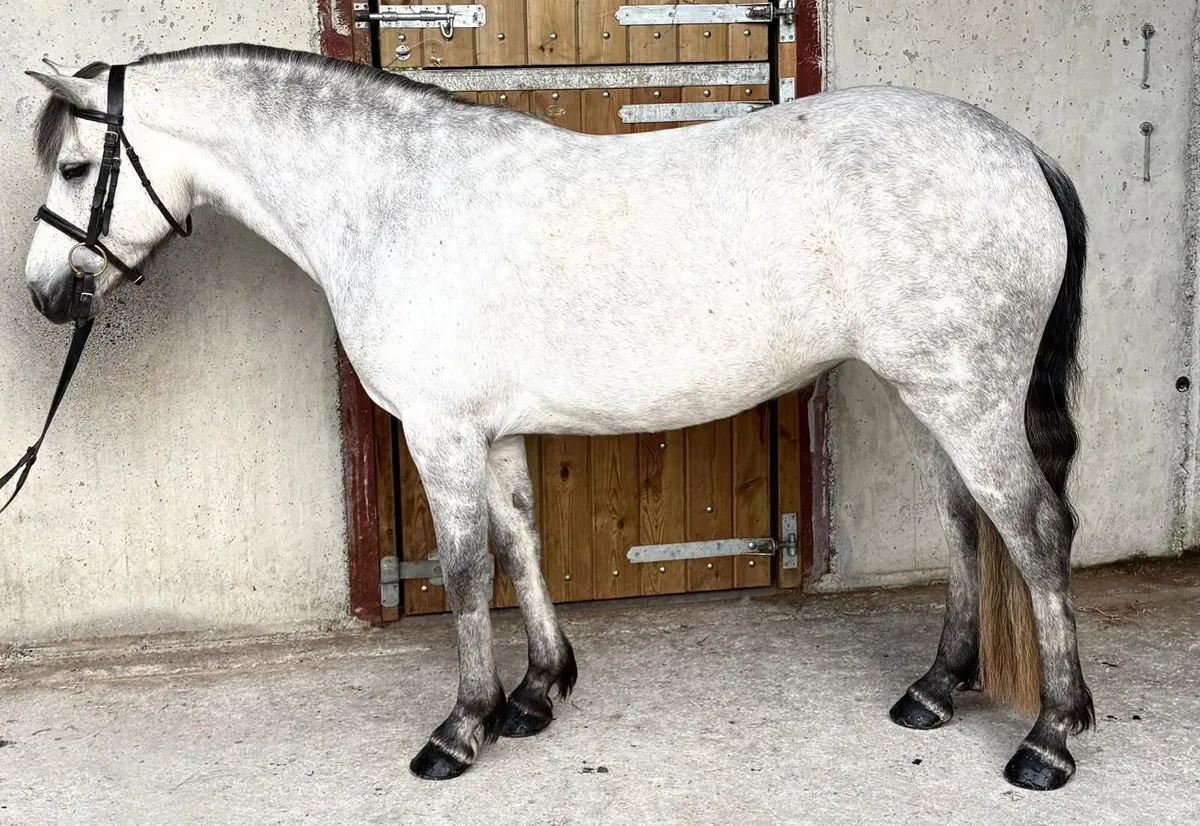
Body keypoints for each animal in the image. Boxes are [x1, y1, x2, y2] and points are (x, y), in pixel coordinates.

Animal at [21, 43, 1093, 790]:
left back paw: (1049, 739)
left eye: (73, 169)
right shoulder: (492, 434)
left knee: (1036, 531)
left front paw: (460, 730)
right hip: (932, 397)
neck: (394, 202)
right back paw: (935, 689)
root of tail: (1022, 151)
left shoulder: (441, 431)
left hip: (967, 396)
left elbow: (463, 572)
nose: (44, 294)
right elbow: (521, 545)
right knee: (965, 525)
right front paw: (537, 695)